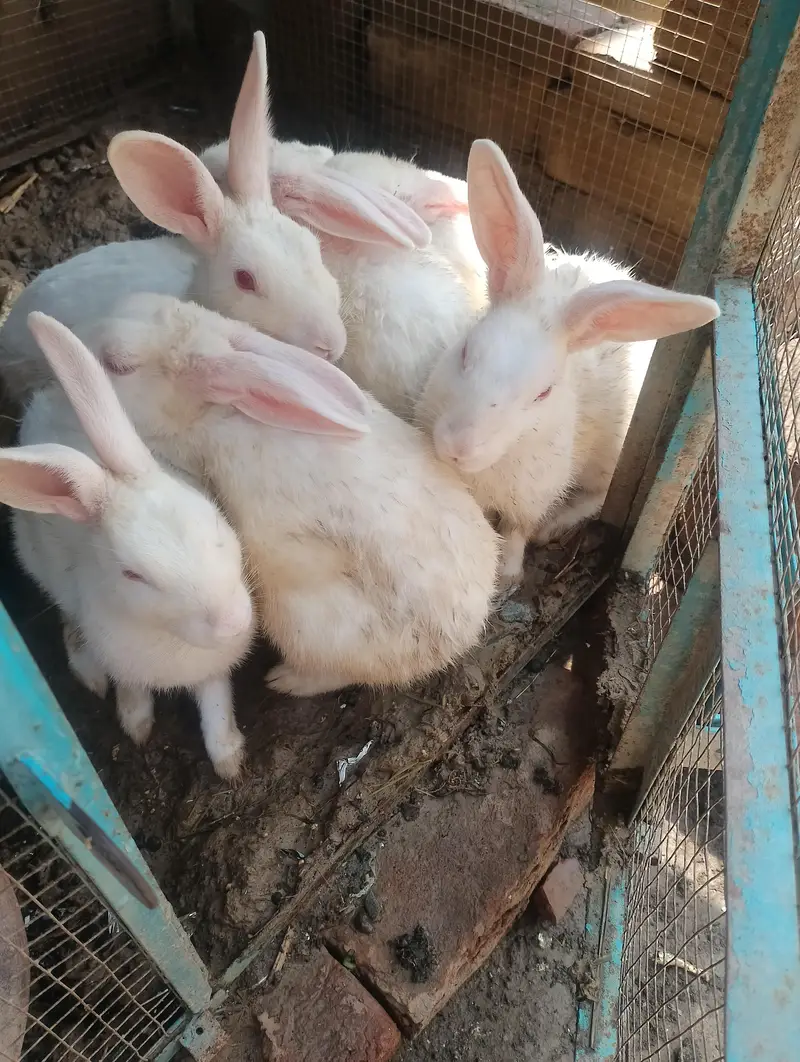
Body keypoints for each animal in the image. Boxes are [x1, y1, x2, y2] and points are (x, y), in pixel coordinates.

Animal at [0, 311, 255, 778]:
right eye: (133, 574)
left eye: (214, 518)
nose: (231, 622)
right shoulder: (126, 663)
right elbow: (132, 691)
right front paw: (136, 727)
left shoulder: (214, 670)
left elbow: (215, 704)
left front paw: (228, 760)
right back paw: (88, 672)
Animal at [417, 140, 721, 584]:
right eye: (466, 351)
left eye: (543, 393)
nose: (459, 446)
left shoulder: (534, 494)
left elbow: (518, 531)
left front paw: (509, 573)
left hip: (609, 461)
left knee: (601, 496)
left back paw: (557, 525)